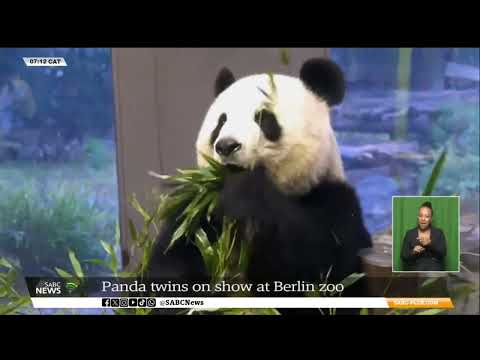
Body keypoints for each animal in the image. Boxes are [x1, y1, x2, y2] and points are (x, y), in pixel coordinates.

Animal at [144, 57, 374, 312]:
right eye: (221, 121)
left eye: (264, 118)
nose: (226, 146)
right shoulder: (197, 211)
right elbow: (170, 262)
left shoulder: (333, 203)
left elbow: (320, 273)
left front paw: (246, 193)